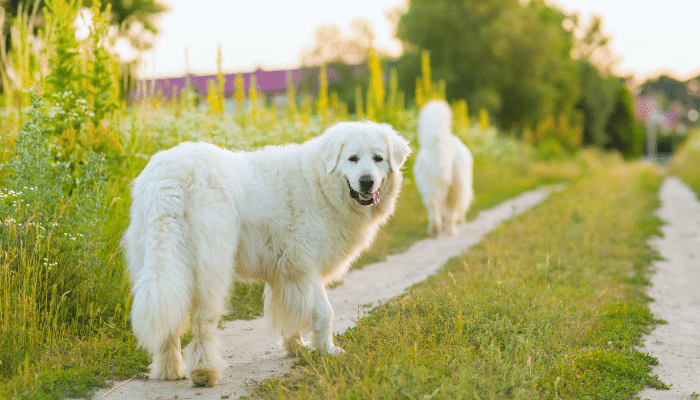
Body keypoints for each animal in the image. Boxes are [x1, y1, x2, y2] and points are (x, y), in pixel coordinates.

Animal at [123, 121, 410, 388]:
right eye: (352, 158)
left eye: (378, 159)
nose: (367, 181)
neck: (320, 183)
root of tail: (170, 178)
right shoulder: (305, 265)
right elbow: (324, 312)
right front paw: (328, 351)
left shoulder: (287, 274)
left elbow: (292, 313)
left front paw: (298, 347)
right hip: (212, 264)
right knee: (204, 321)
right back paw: (205, 371)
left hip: (160, 263)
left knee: (169, 321)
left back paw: (170, 370)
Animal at [412, 100, 474, 236]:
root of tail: (440, 143)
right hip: (457, 189)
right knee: (451, 213)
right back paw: (452, 231)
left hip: (430, 188)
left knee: (434, 209)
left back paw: (435, 229)